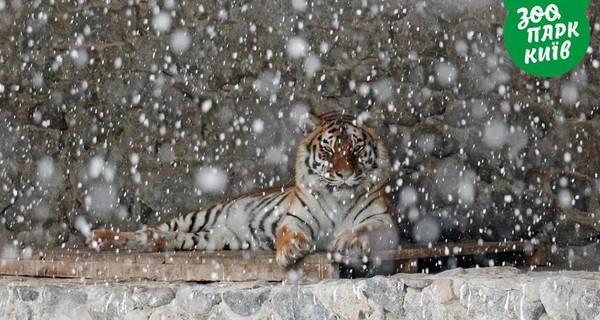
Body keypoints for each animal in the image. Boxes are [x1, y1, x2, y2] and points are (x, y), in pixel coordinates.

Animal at [90, 111, 398, 266]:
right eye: (328, 150)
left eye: (355, 149)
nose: (344, 174)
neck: (338, 200)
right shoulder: (294, 219)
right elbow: (288, 233)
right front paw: (291, 251)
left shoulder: (384, 222)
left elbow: (366, 230)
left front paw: (345, 240)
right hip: (199, 216)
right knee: (151, 229)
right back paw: (98, 237)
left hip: (208, 239)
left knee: (157, 237)